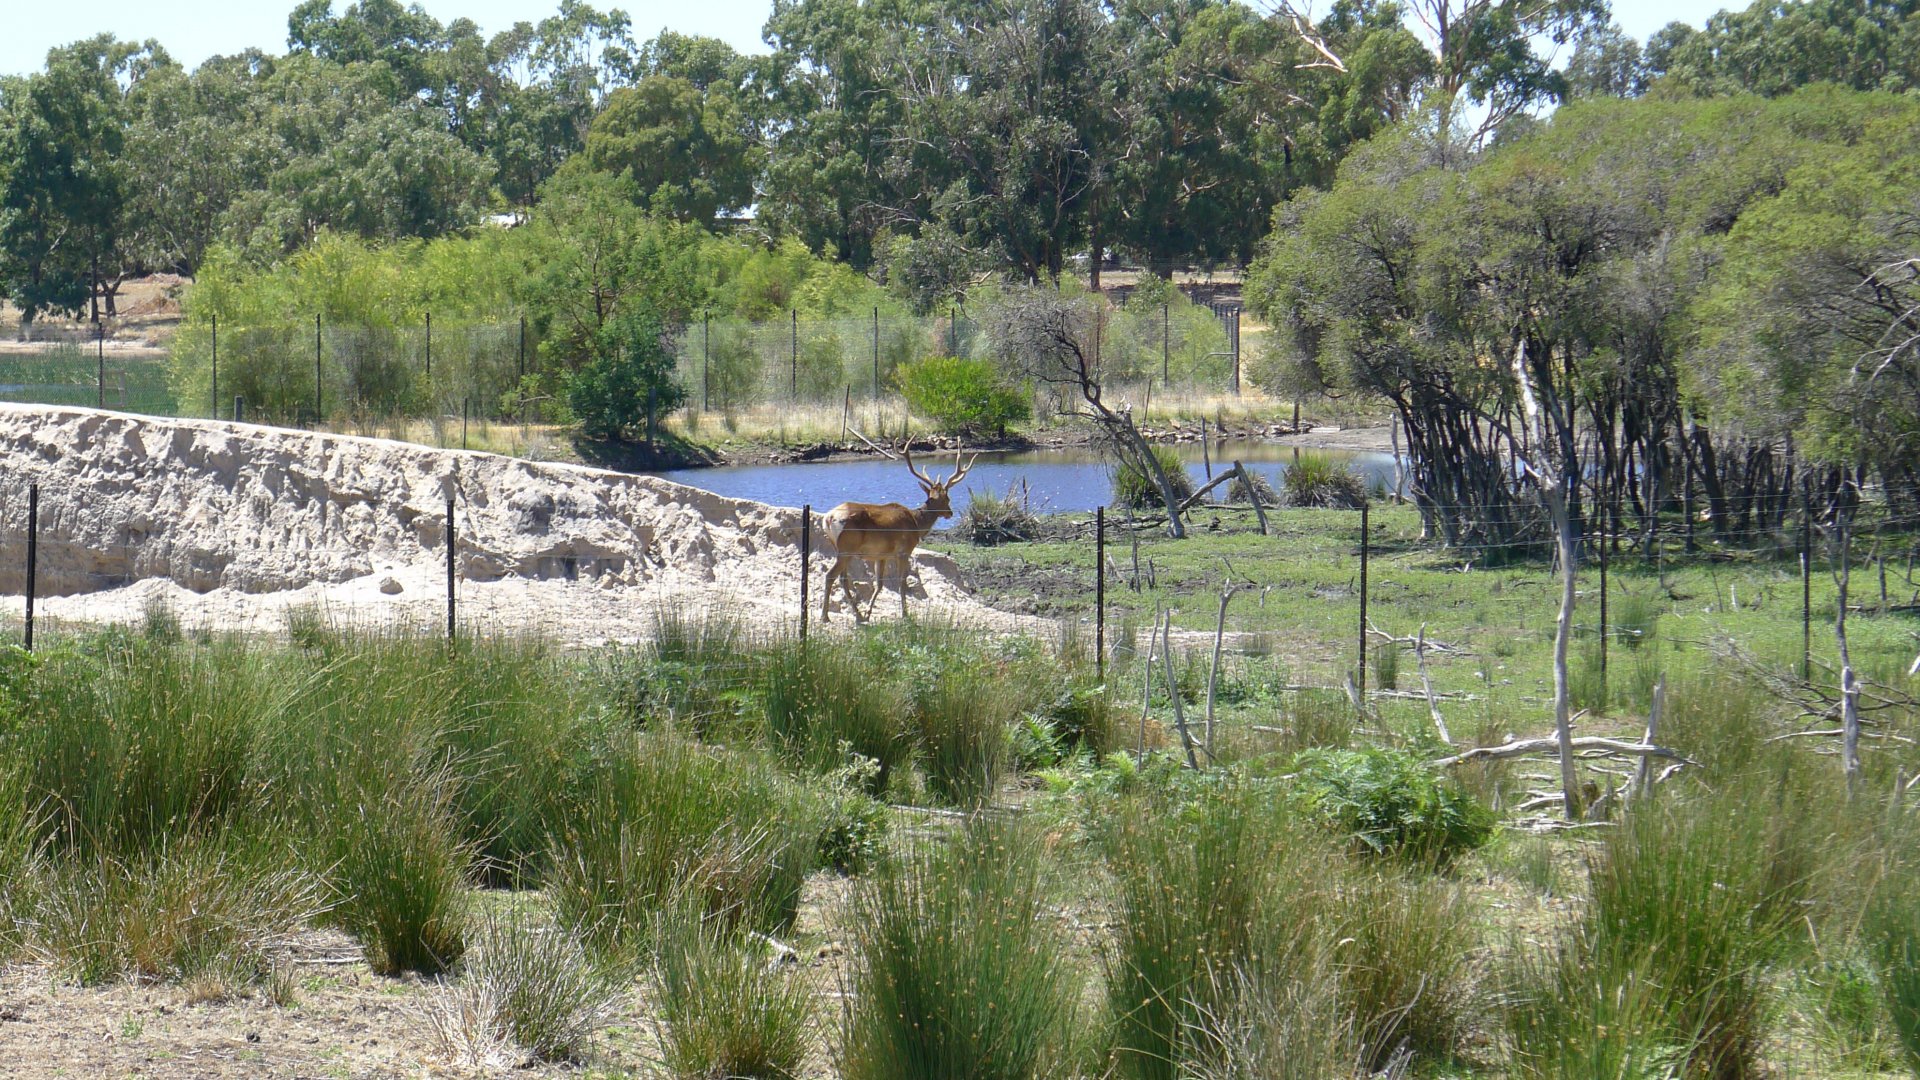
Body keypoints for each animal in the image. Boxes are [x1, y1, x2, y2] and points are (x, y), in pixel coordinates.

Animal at [821, 447, 976, 623]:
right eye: (947, 498)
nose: (950, 513)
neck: (916, 524)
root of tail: (829, 518)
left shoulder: (881, 555)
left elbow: (879, 584)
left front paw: (868, 612)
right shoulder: (904, 550)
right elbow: (902, 582)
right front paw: (905, 614)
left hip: (839, 548)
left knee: (843, 579)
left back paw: (858, 615)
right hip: (847, 548)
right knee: (831, 575)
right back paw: (826, 616)